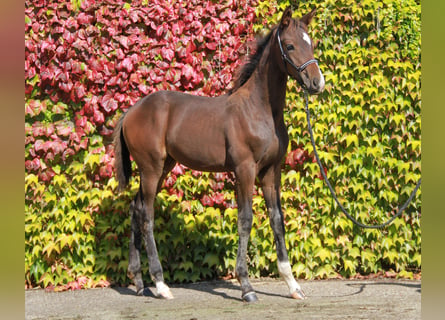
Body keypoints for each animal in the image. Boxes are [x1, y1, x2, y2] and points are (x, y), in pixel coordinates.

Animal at [112, 6, 324, 302]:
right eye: (291, 45)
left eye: (311, 43)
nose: (317, 82)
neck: (259, 110)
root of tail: (131, 111)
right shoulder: (244, 170)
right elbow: (245, 220)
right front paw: (246, 287)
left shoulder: (271, 171)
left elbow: (277, 219)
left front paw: (293, 286)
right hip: (150, 169)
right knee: (147, 215)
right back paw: (161, 285)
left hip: (163, 167)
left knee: (135, 208)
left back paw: (141, 284)